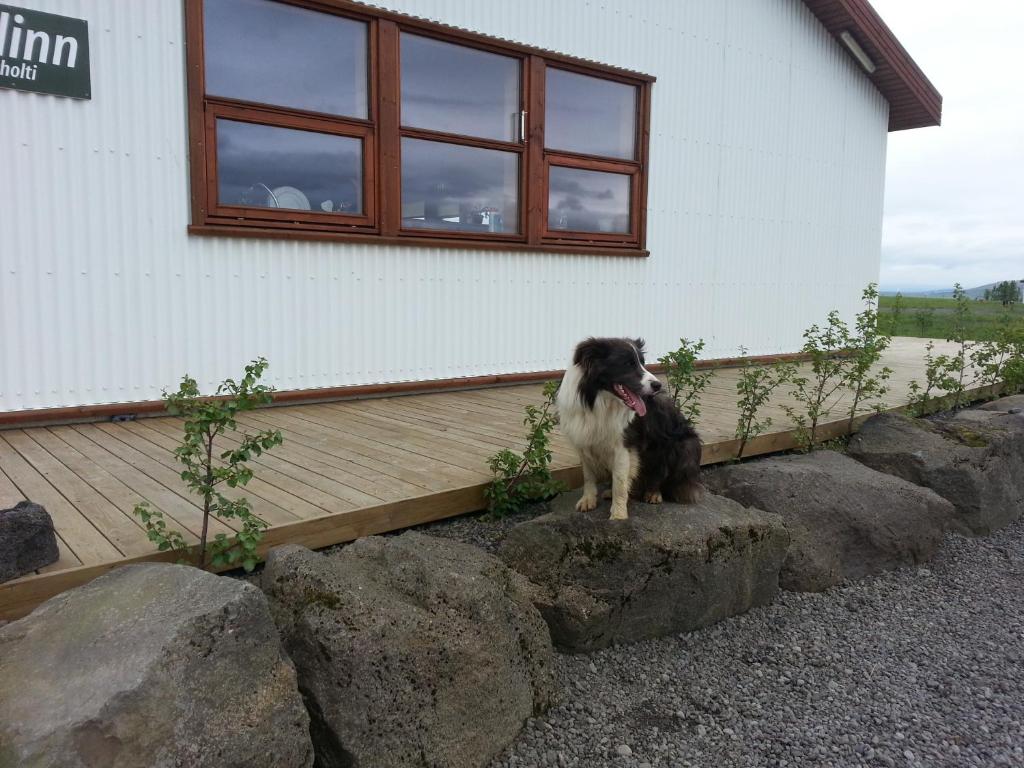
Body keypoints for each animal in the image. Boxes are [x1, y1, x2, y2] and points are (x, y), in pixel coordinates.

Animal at [552, 339, 704, 520]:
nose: (657, 385)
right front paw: (588, 500)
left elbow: (620, 482)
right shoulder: (584, 441)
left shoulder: (623, 446)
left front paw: (618, 515)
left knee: (661, 472)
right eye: (628, 364)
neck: (599, 401)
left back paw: (653, 492)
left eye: (642, 363)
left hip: (683, 445)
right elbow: (588, 476)